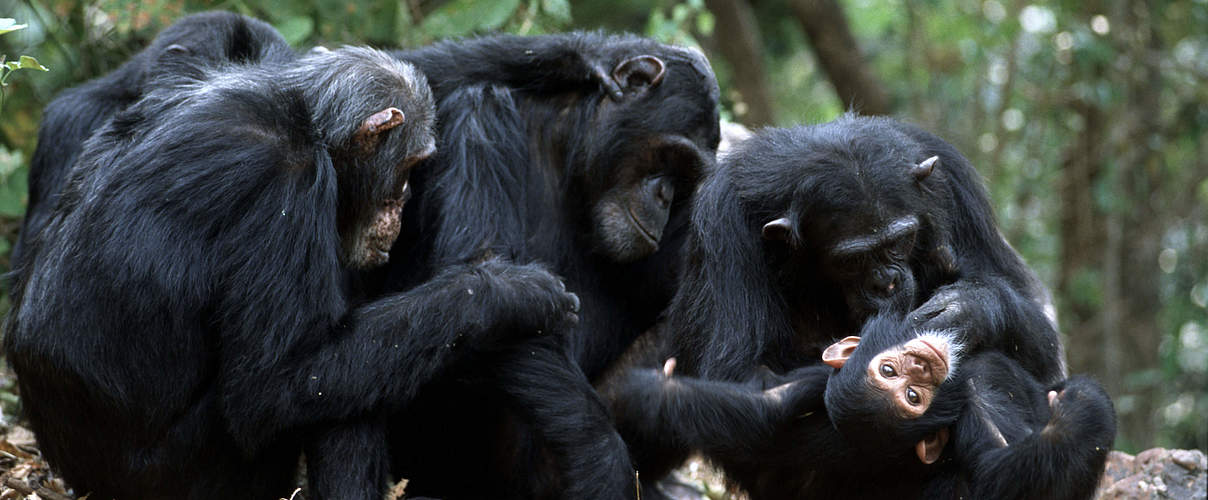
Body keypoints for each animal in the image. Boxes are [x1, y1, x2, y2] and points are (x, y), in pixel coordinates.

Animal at [3, 46, 579, 500]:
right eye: (414, 165)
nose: (404, 202)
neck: (306, 120)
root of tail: (78, 482)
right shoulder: (290, 185)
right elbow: (276, 383)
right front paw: (514, 293)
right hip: (182, 480)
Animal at [374, 33, 715, 497]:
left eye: (686, 178)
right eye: (673, 158)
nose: (665, 196)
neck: (567, 157)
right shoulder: (479, 118)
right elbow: (493, 277)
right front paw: (601, 456)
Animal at [608, 311, 1116, 500]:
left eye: (892, 372)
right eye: (910, 395)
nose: (920, 366)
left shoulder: (815, 383)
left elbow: (761, 407)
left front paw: (646, 390)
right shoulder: (967, 407)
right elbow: (1002, 473)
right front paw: (1081, 411)